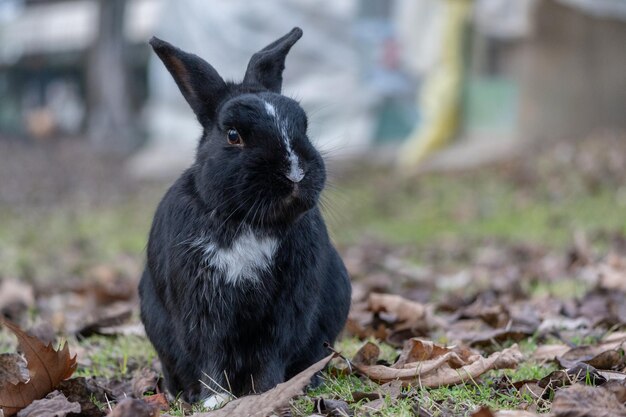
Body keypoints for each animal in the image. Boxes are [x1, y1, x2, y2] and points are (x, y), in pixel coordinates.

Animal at [137, 27, 352, 404]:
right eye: (233, 135)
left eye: (304, 126)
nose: (295, 173)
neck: (249, 222)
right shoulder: (202, 308)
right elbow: (210, 355)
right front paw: (216, 400)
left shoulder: (286, 309)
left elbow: (271, 353)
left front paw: (266, 393)